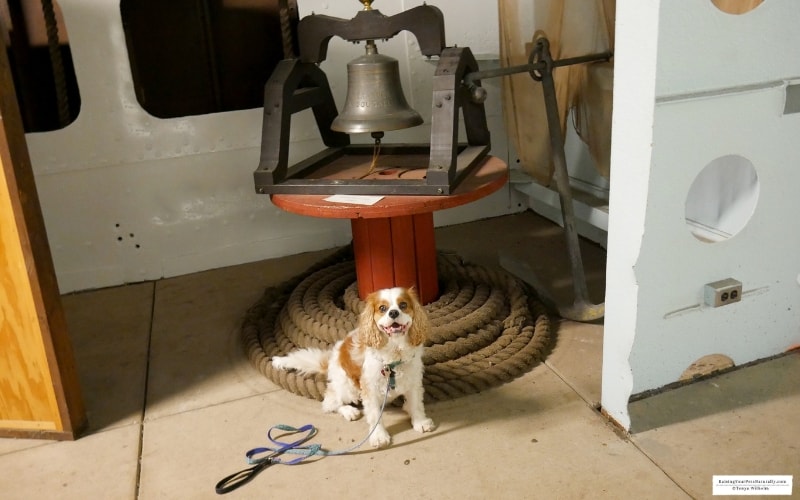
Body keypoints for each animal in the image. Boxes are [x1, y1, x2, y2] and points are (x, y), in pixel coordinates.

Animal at [272, 288, 434, 448]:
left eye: (403, 305)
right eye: (382, 308)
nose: (393, 313)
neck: (395, 351)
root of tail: (331, 360)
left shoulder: (413, 381)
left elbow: (416, 403)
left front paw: (420, 422)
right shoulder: (369, 388)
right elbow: (374, 415)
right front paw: (379, 436)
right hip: (348, 388)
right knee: (330, 401)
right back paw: (349, 411)